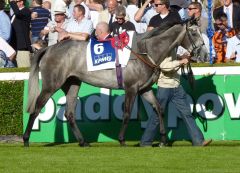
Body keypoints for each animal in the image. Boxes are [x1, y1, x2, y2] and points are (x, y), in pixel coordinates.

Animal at [23, 21, 206, 147]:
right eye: (193, 32)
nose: (204, 53)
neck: (145, 51)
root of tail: (49, 48)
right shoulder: (131, 88)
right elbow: (126, 114)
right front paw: (122, 139)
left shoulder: (144, 89)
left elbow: (159, 109)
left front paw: (162, 139)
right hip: (51, 85)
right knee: (36, 108)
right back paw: (25, 140)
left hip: (72, 84)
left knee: (69, 113)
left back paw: (83, 142)